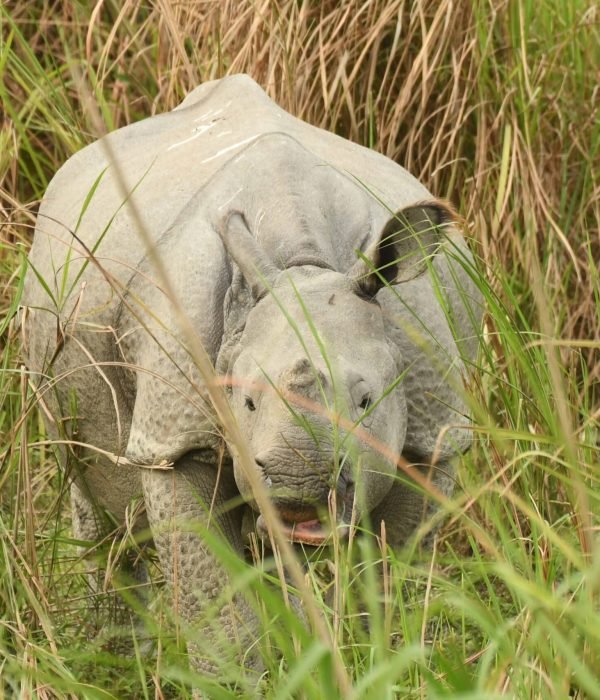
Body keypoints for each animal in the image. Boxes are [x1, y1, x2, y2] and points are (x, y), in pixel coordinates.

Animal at [22, 75, 482, 677]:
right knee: (93, 492)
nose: (295, 480)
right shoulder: (173, 438)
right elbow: (214, 602)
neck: (306, 264)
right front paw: (240, 681)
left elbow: (385, 580)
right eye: (245, 404)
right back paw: (117, 665)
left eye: (366, 402)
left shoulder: (433, 436)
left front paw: (373, 666)